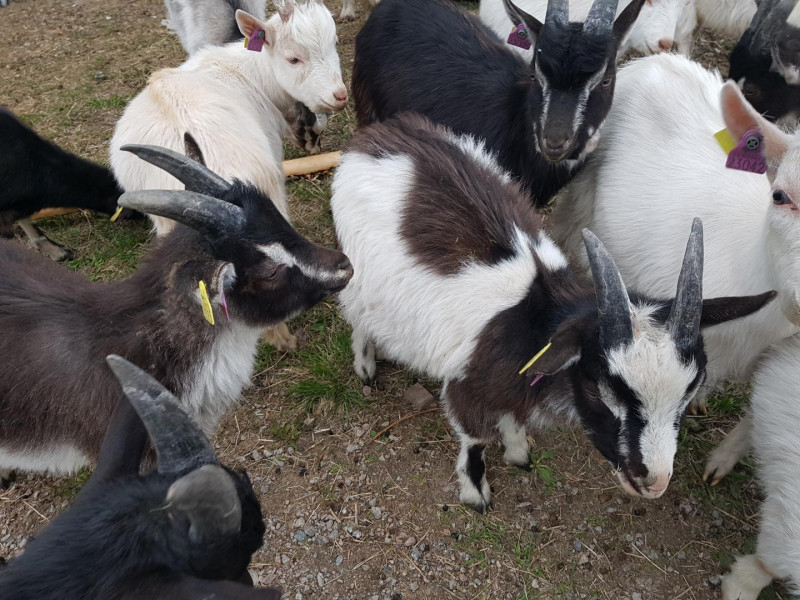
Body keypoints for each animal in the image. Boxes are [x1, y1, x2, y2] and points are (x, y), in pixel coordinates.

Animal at [330, 112, 774, 512]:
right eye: (598, 387)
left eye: (689, 393)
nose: (654, 482)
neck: (535, 322)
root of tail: (374, 137)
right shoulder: (467, 384)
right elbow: (474, 439)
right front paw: (476, 492)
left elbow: (512, 417)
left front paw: (517, 450)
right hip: (359, 272)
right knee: (358, 313)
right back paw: (365, 363)